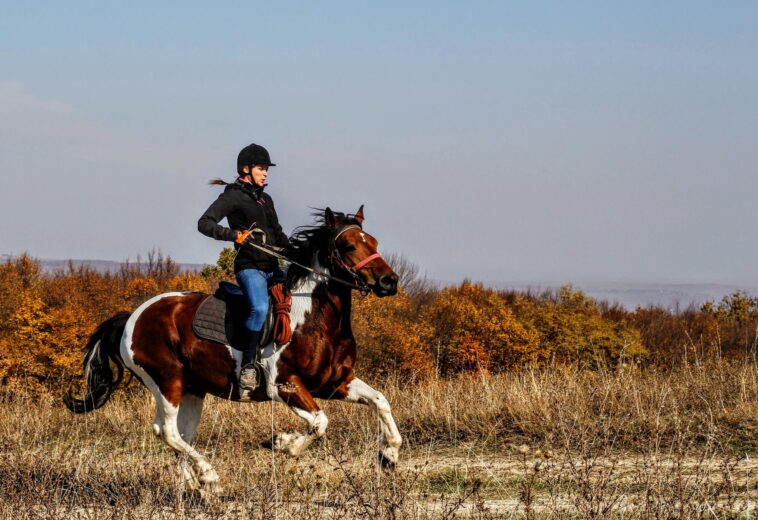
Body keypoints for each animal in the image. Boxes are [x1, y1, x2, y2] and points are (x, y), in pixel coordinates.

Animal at [65, 206, 404, 496]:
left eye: (373, 241)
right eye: (348, 246)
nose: (389, 281)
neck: (312, 316)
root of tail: (132, 318)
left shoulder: (335, 383)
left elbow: (380, 401)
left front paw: (389, 454)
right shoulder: (285, 385)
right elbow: (320, 423)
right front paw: (282, 443)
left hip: (192, 390)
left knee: (181, 436)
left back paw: (194, 485)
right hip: (166, 381)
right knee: (167, 431)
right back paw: (209, 477)